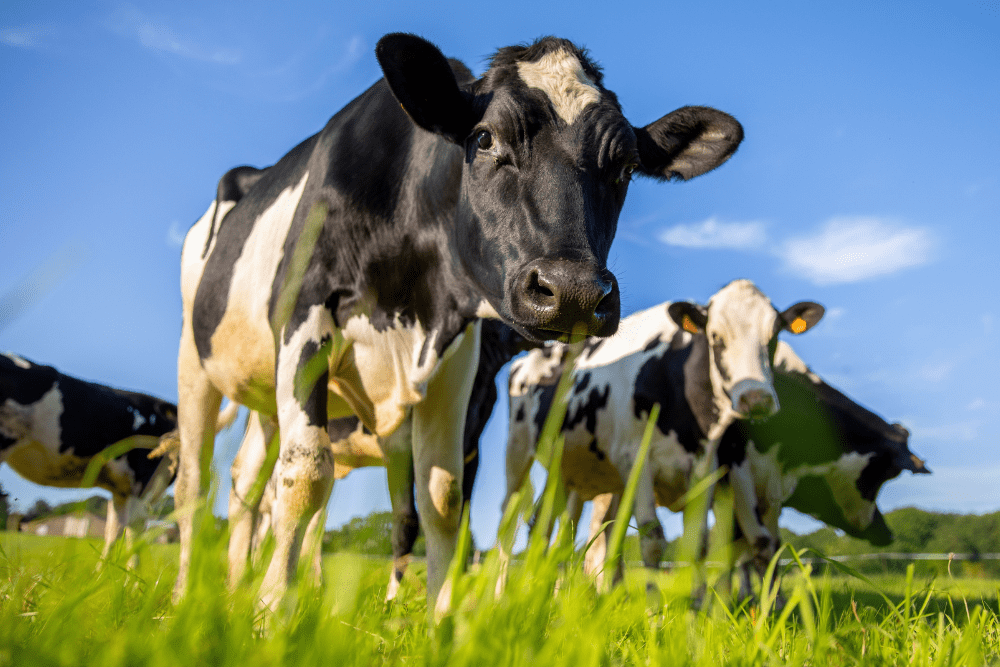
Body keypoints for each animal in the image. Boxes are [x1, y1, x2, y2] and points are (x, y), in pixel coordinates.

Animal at [176, 32, 744, 611]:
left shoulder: (457, 362)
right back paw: (185, 595)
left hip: (264, 395)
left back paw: (232, 586)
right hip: (194, 359)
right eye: (486, 139)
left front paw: (440, 616)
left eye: (626, 168)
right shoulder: (305, 319)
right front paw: (273, 610)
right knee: (197, 482)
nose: (574, 292)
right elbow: (307, 472)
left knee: (246, 482)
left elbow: (443, 498)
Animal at [502, 280, 824, 589]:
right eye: (715, 338)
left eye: (773, 337)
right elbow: (652, 537)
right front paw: (653, 607)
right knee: (512, 522)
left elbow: (699, 543)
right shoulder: (634, 458)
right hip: (518, 452)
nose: (756, 399)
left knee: (545, 527)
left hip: (566, 467)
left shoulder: (706, 468)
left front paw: (693, 608)